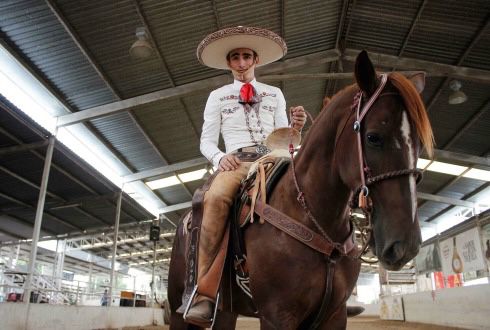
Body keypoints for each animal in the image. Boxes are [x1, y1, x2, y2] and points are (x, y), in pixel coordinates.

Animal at [167, 50, 432, 328]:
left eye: (418, 142)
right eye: (373, 137)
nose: (406, 245)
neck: (311, 216)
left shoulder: (334, 315)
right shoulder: (277, 316)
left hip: (226, 312)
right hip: (177, 309)